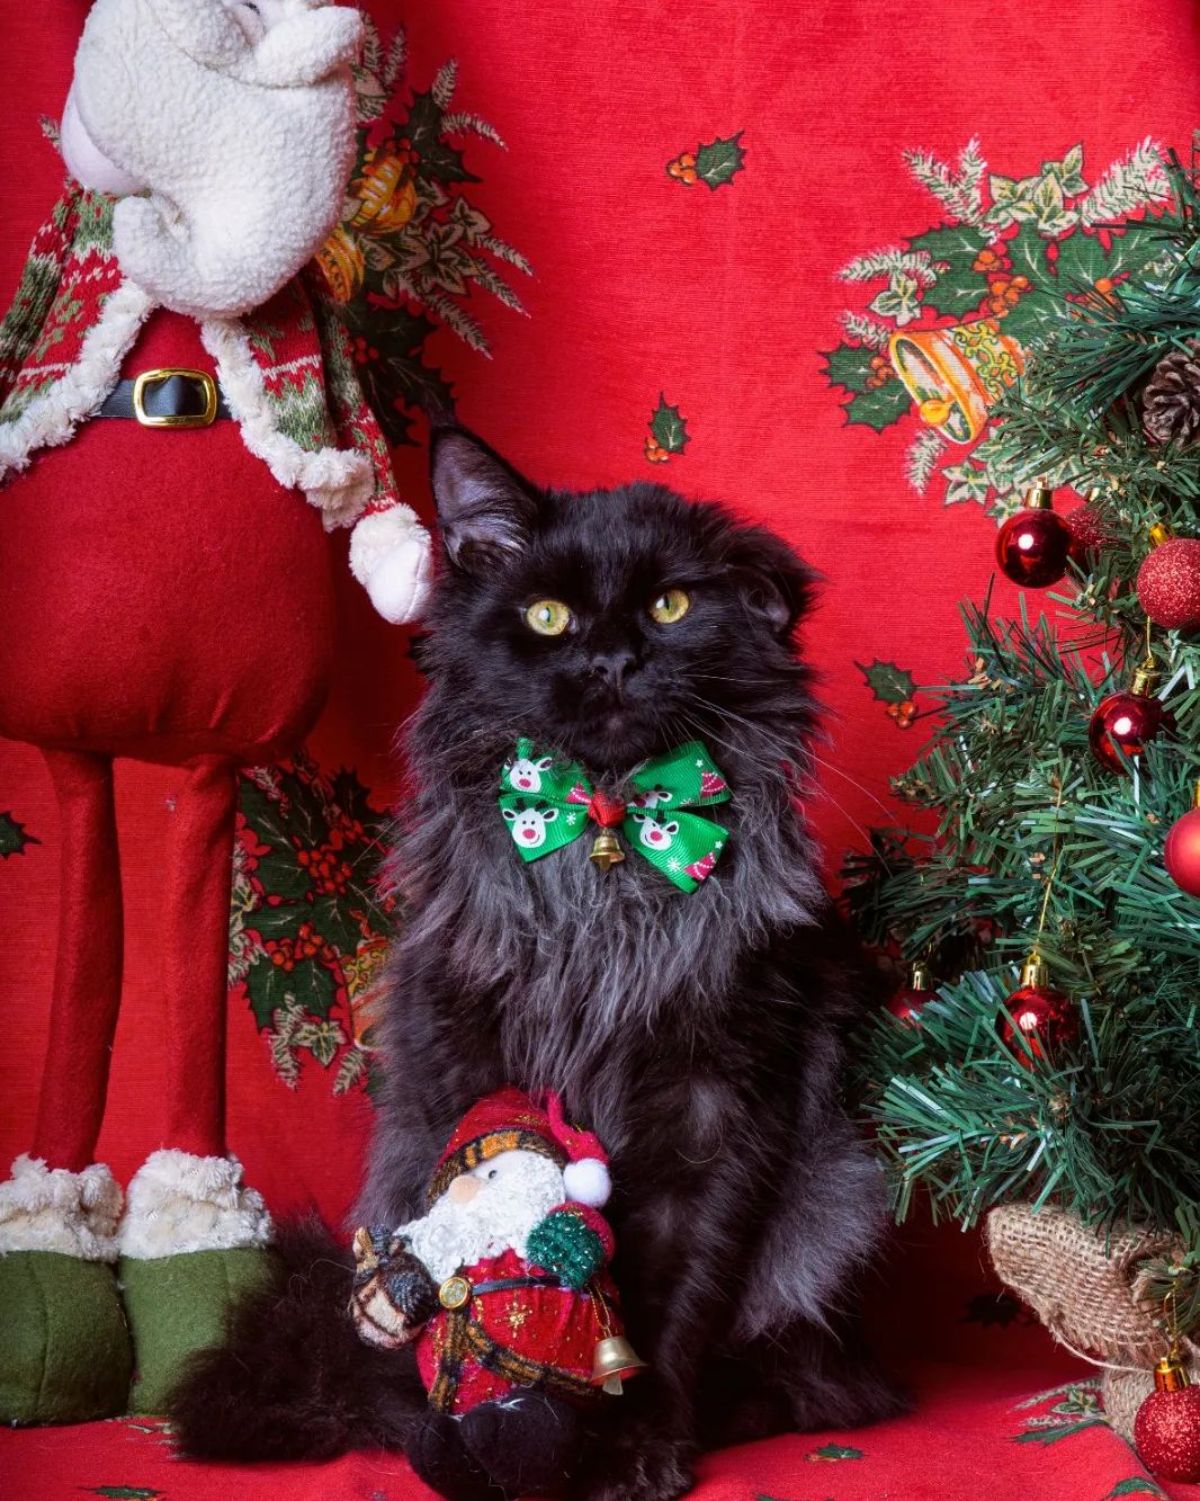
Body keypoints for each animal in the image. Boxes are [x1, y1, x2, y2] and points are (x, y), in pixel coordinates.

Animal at [168, 432, 901, 1501]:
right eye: (546, 616)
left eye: (670, 607)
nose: (611, 659)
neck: (608, 845)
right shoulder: (470, 1070)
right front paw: (503, 1431)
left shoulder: (718, 1113)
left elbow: (676, 1306)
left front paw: (636, 1448)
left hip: (834, 1197)